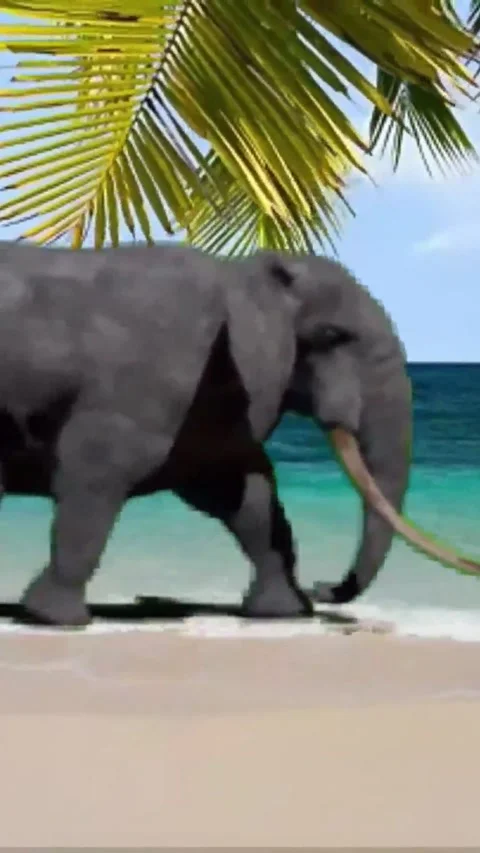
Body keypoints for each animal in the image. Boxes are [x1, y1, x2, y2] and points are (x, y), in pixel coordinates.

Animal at [0, 241, 477, 627]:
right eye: (332, 335)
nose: (323, 587)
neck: (242, 276)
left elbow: (246, 496)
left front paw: (284, 612)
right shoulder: (138, 390)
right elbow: (93, 478)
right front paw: (54, 618)